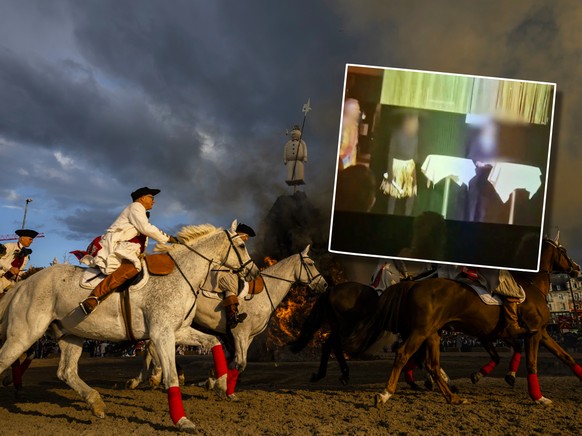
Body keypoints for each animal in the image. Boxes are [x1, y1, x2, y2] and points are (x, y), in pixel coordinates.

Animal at [0, 221, 260, 432]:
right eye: (242, 245)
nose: (254, 272)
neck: (180, 276)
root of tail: (24, 283)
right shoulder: (162, 334)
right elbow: (172, 378)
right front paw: (182, 420)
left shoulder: (178, 332)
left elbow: (214, 343)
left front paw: (222, 383)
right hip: (25, 334)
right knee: (7, 359)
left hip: (71, 335)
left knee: (66, 372)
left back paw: (95, 401)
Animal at [127, 245, 326, 392]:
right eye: (310, 263)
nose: (324, 284)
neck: (265, 292)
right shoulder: (239, 333)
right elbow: (239, 363)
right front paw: (215, 381)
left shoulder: (247, 337)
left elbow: (236, 361)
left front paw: (213, 377)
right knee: (151, 347)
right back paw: (152, 376)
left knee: (151, 347)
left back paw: (148, 378)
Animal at [350, 238, 580, 406]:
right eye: (564, 251)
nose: (577, 268)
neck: (530, 284)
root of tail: (413, 285)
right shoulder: (532, 332)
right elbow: (531, 363)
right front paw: (538, 397)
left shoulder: (534, 332)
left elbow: (565, 356)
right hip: (420, 331)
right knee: (404, 354)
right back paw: (386, 393)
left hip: (431, 333)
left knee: (430, 363)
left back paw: (451, 395)